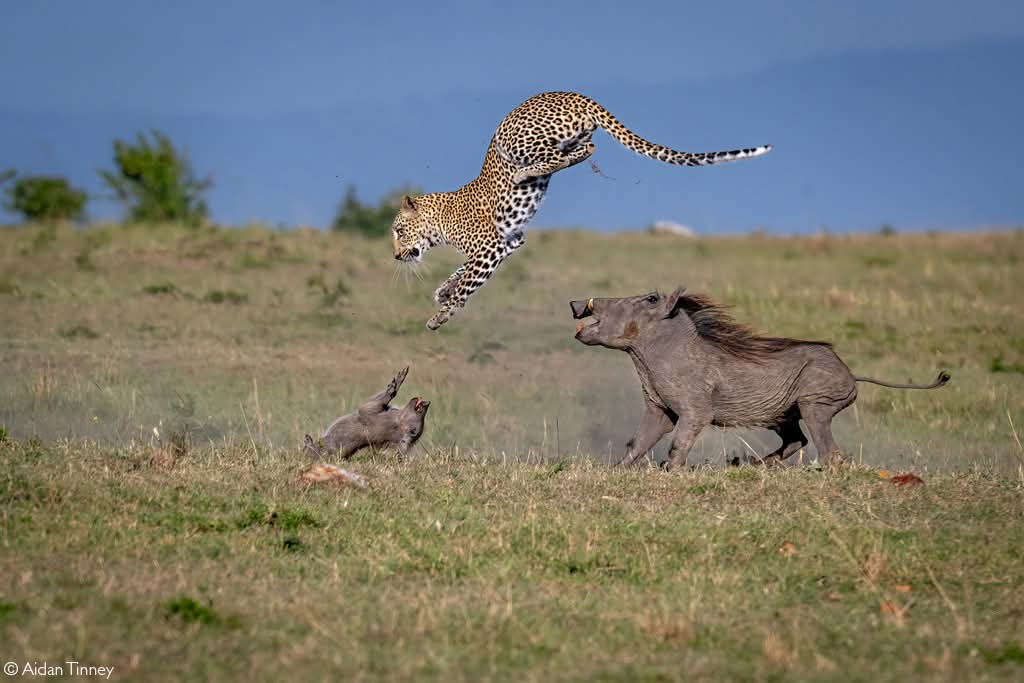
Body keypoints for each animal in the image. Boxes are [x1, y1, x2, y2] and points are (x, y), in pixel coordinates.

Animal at [391, 91, 772, 330]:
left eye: (397, 231)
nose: (395, 256)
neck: (440, 221)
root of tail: (572, 94)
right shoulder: (510, 242)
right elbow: (462, 273)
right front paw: (442, 292)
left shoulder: (491, 246)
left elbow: (468, 282)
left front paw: (440, 315)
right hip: (569, 135)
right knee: (586, 148)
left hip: (513, 139)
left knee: (572, 152)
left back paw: (525, 173)